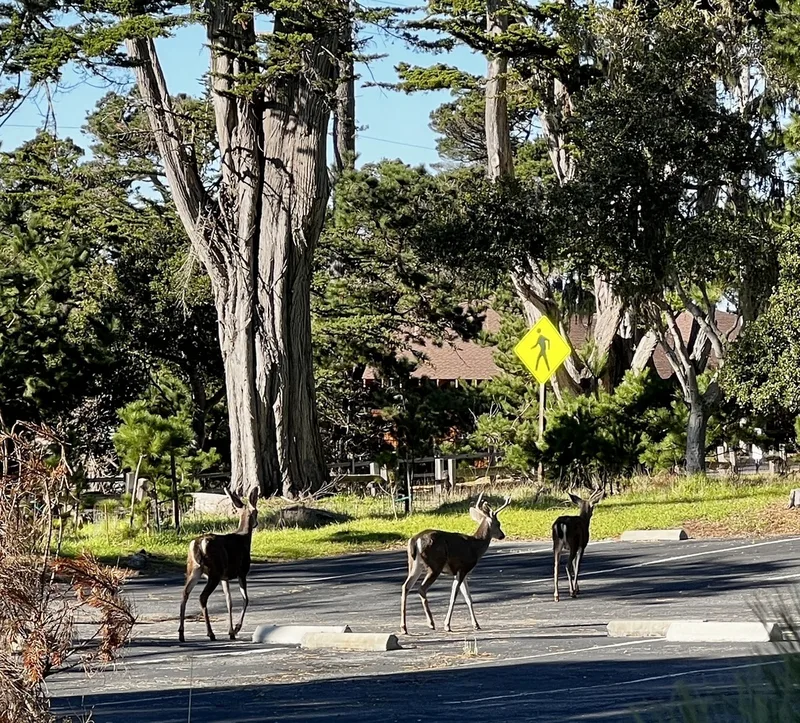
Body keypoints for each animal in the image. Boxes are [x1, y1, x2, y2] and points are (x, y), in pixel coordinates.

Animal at [178, 486, 259, 643]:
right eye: (257, 512)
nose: (256, 523)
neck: (245, 537)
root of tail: (198, 544)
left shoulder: (225, 577)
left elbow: (229, 601)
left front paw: (231, 632)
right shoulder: (242, 571)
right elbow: (245, 599)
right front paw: (236, 628)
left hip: (194, 569)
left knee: (185, 593)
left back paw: (181, 634)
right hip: (214, 571)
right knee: (202, 597)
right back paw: (210, 634)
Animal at [400, 493, 510, 635]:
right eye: (498, 524)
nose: (502, 535)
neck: (475, 546)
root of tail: (415, 540)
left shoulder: (462, 572)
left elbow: (469, 598)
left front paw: (476, 624)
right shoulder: (462, 568)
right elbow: (454, 596)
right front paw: (447, 625)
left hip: (414, 564)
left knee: (405, 586)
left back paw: (404, 627)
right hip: (435, 565)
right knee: (421, 588)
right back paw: (431, 623)